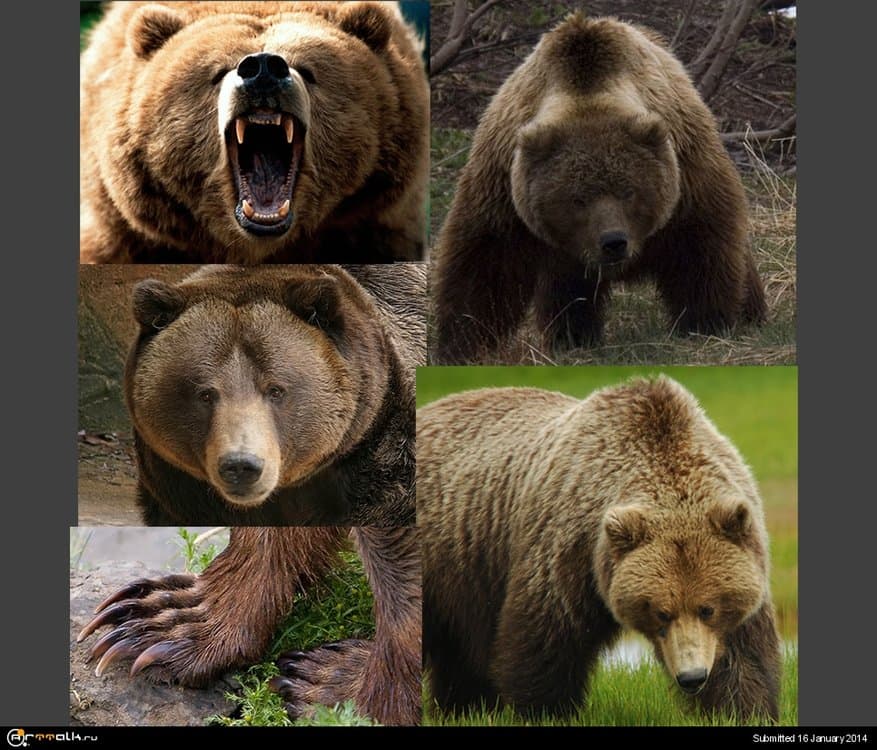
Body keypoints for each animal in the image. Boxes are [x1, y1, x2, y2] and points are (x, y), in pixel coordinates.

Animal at [417, 376, 781, 721]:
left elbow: (743, 655)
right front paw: (546, 710)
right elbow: (546, 638)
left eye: (708, 608)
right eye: (661, 611)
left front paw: (741, 708)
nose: (691, 677)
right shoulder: (567, 548)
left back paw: (463, 707)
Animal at [431, 14, 767, 363]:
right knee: (568, 292)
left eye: (629, 191)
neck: (586, 91)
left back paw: (752, 314)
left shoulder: (686, 174)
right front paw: (461, 345)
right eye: (577, 199)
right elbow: (486, 263)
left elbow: (700, 247)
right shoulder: (504, 185)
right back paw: (572, 337)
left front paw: (706, 322)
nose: (613, 242)